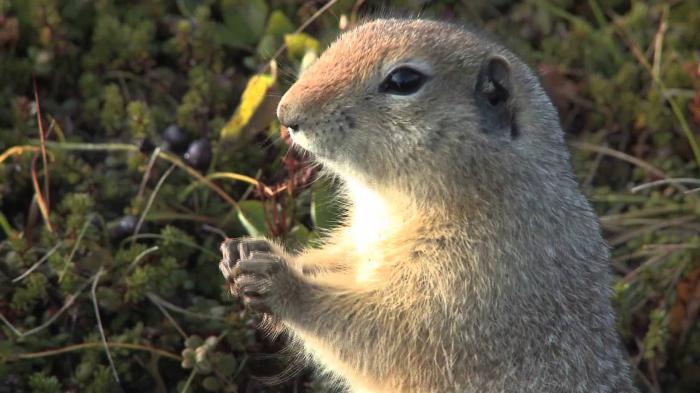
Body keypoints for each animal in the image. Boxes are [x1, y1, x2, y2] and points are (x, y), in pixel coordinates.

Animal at [219, 17, 640, 392]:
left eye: (404, 81)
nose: (285, 114)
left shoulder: (472, 290)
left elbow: (381, 334)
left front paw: (282, 284)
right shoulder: (360, 241)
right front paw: (246, 252)